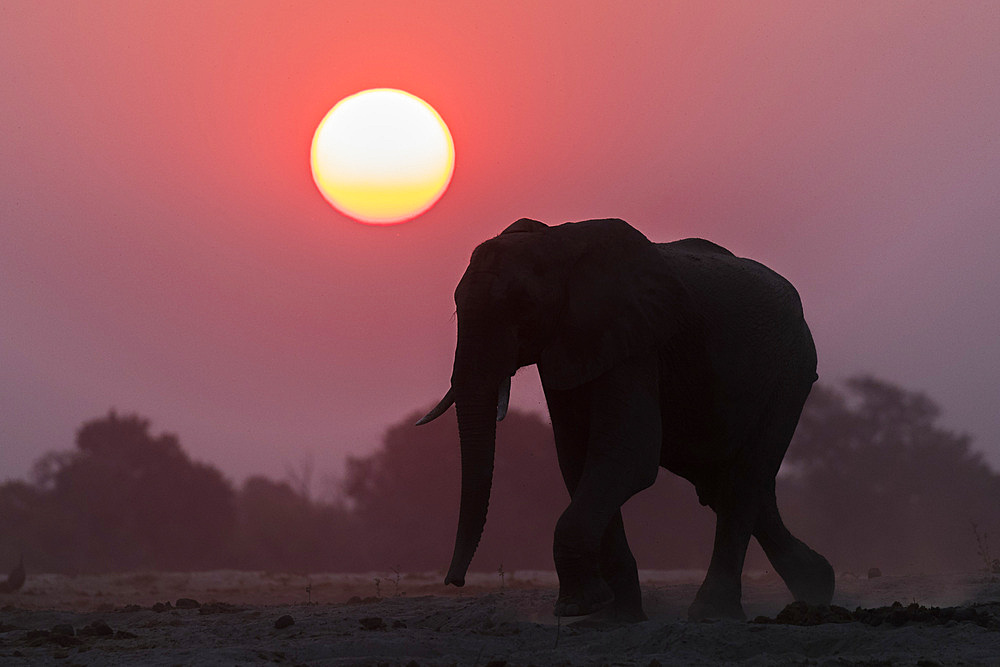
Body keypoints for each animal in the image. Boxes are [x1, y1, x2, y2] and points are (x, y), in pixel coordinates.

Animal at [416, 218, 836, 620]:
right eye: (456, 307)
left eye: (523, 305)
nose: (455, 582)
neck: (554, 242)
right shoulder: (573, 345)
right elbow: (579, 460)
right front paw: (615, 616)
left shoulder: (634, 342)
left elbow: (627, 455)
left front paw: (577, 608)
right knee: (720, 482)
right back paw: (818, 588)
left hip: (790, 374)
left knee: (742, 481)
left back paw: (714, 614)